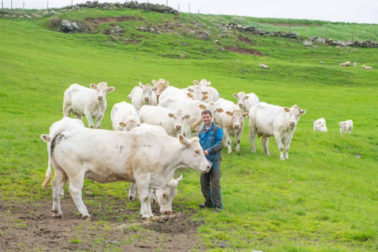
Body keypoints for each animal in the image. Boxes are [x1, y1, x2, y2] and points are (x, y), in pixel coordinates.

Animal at [45, 126, 210, 219]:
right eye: (196, 151)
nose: (208, 166)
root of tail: (63, 131)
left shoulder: (150, 179)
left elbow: (148, 196)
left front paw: (149, 213)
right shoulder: (142, 176)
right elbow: (144, 197)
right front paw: (145, 215)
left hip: (61, 171)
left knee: (56, 187)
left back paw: (56, 211)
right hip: (75, 172)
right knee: (74, 190)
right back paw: (84, 212)